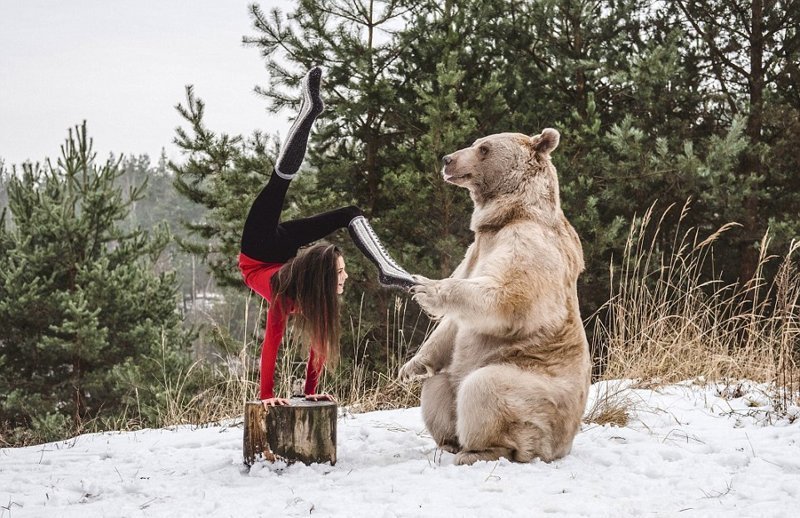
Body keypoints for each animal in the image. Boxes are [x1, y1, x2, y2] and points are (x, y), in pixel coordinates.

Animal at [398, 130, 592, 468]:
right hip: (458, 374)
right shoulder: (474, 251)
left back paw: (480, 450)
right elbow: (452, 325)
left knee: (485, 389)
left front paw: (426, 288)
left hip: (536, 388)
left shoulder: (527, 241)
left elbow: (508, 295)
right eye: (476, 143)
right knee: (438, 386)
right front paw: (411, 366)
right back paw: (449, 442)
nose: (448, 160)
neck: (506, 216)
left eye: (484, 149)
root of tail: (564, 445)